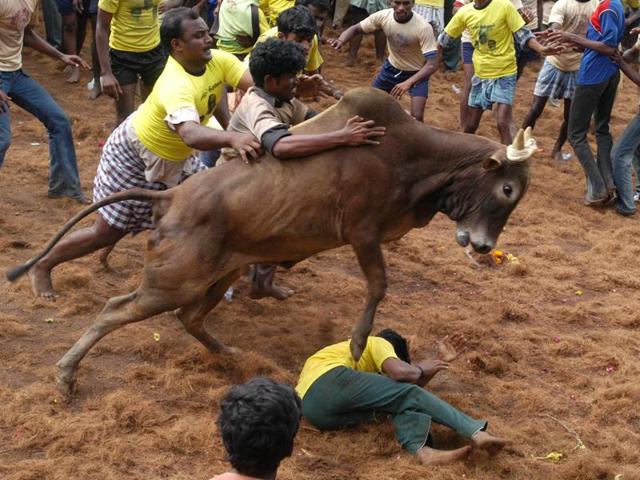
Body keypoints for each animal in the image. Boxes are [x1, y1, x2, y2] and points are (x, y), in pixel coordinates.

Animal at [7, 87, 536, 397]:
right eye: (507, 190)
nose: (483, 246)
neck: (412, 156)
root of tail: (172, 195)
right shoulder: (363, 233)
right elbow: (379, 286)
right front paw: (357, 341)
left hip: (224, 271)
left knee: (189, 317)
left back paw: (230, 355)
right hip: (174, 280)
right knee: (116, 309)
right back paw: (65, 375)